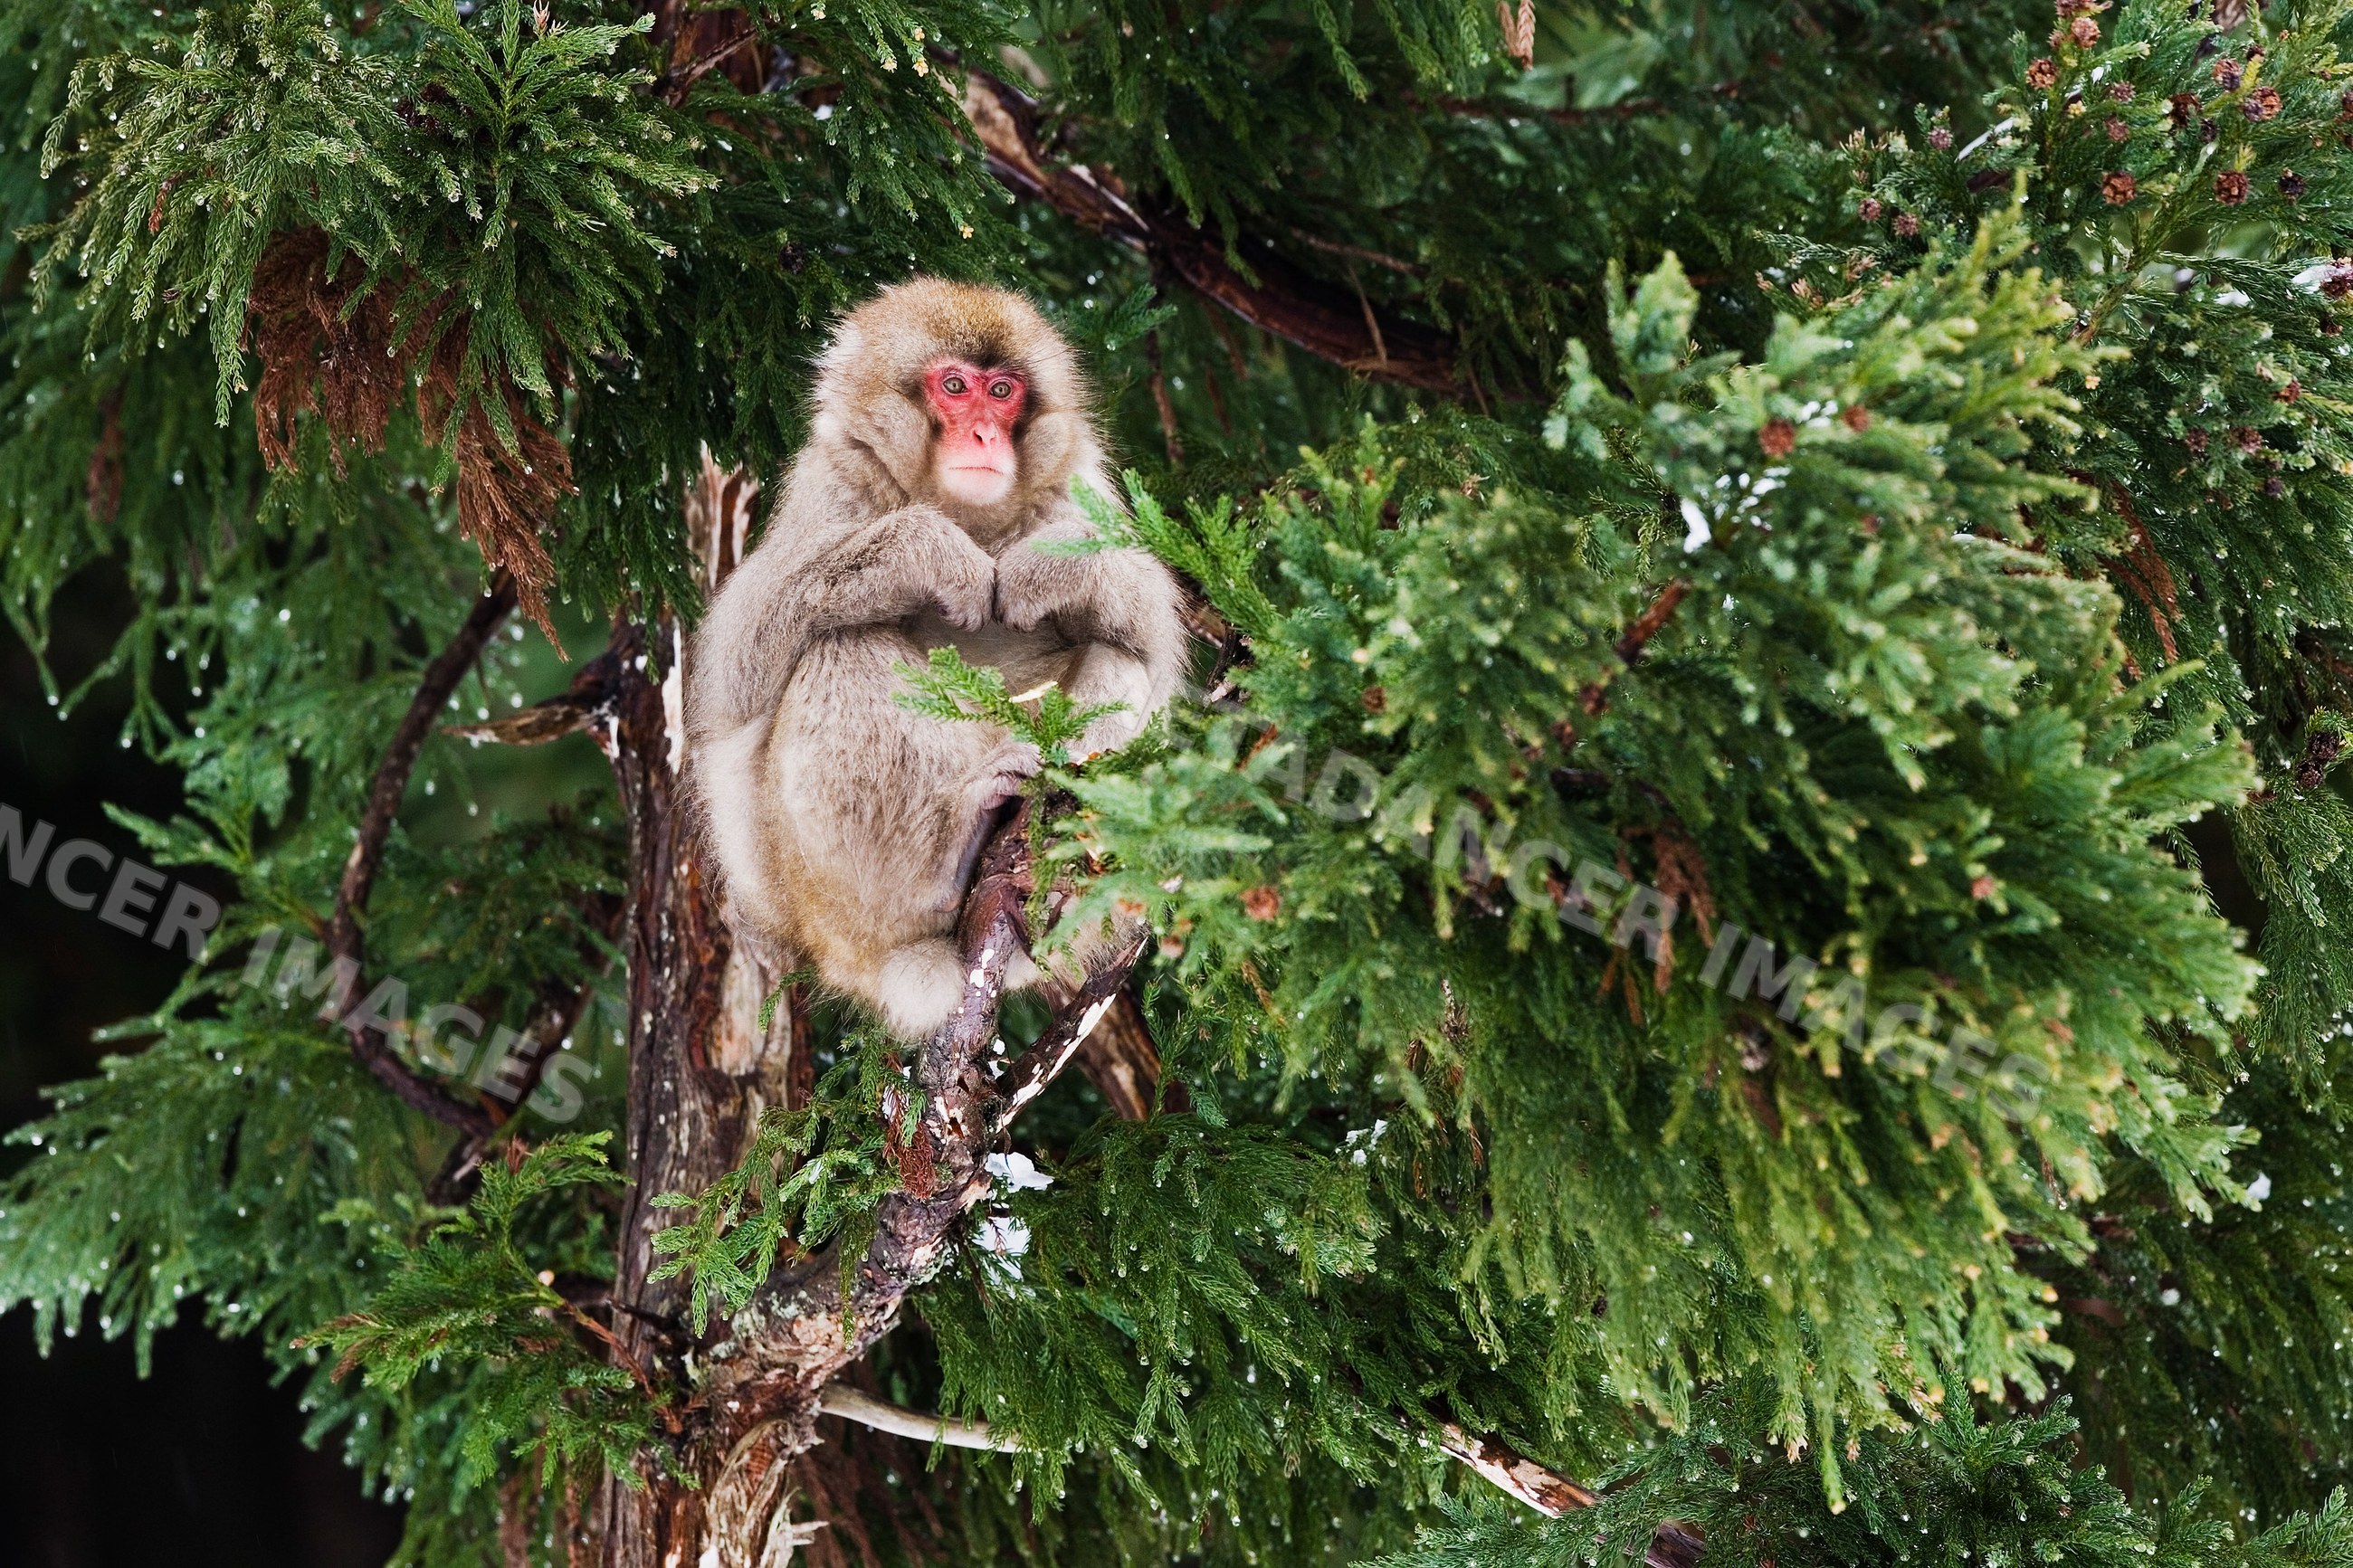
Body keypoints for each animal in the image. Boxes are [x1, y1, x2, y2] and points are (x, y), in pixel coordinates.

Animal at [686, 277, 1189, 1039]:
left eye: (1003, 390)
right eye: (955, 386)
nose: (983, 433)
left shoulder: (1077, 488)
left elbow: (1158, 656)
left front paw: (1050, 568)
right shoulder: (831, 485)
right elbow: (736, 672)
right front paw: (928, 553)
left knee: (1121, 659)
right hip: (820, 902)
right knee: (840, 646)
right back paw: (952, 856)